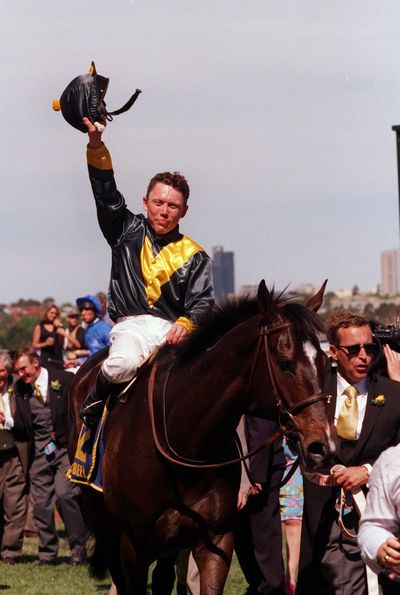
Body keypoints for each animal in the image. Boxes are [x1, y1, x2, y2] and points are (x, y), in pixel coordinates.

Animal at [67, 282, 336, 595]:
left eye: (324, 361)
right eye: (284, 363)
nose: (322, 445)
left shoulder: (215, 540)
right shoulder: (131, 545)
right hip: (106, 528)